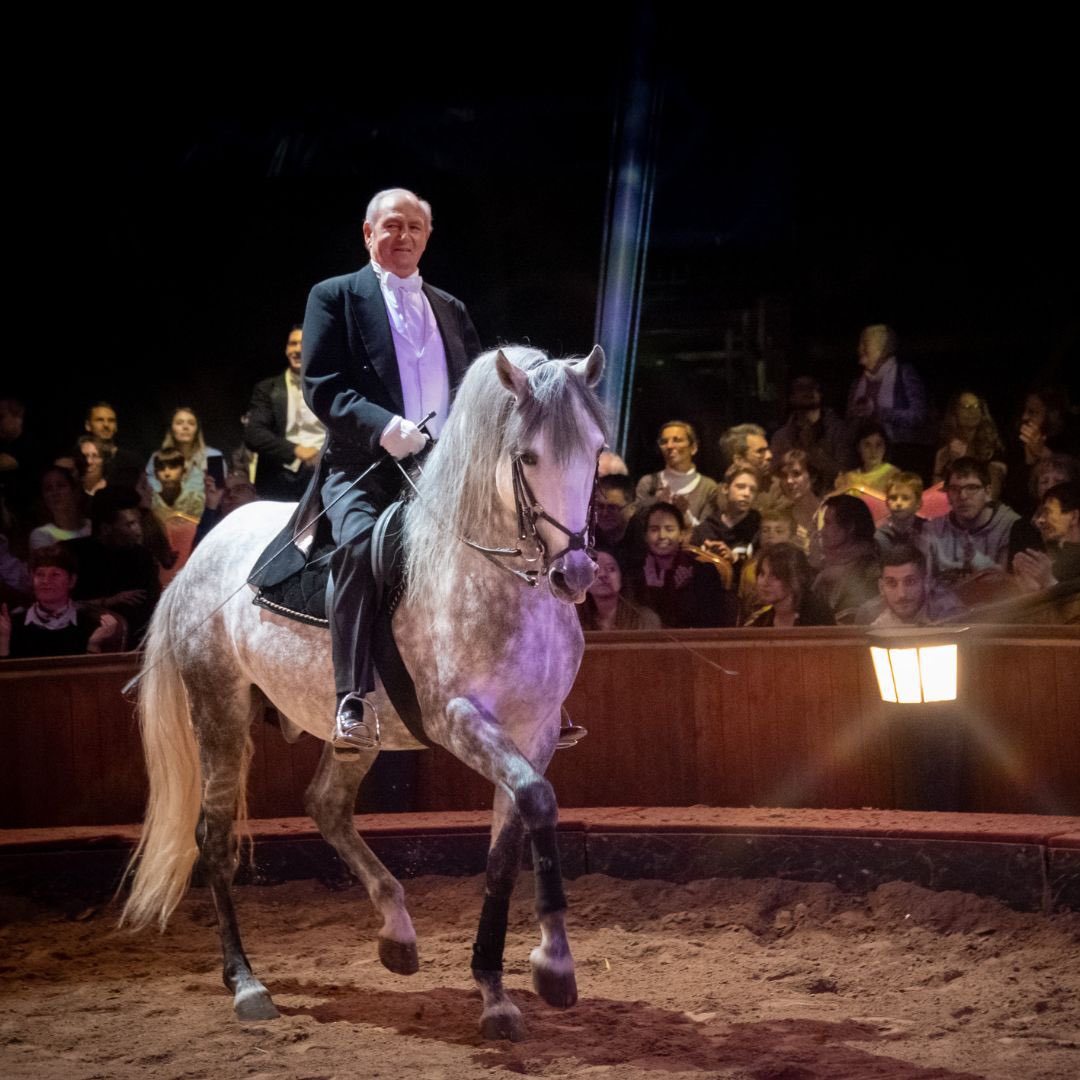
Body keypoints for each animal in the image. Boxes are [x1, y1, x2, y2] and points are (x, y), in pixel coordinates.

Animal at [123, 343, 613, 1036]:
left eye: (596, 451)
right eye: (528, 457)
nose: (575, 574)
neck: (497, 578)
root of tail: (199, 553)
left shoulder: (536, 733)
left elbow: (506, 849)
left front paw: (495, 992)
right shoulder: (460, 719)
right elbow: (541, 803)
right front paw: (553, 966)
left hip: (352, 733)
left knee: (326, 804)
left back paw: (397, 931)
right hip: (218, 711)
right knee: (214, 840)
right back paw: (246, 983)